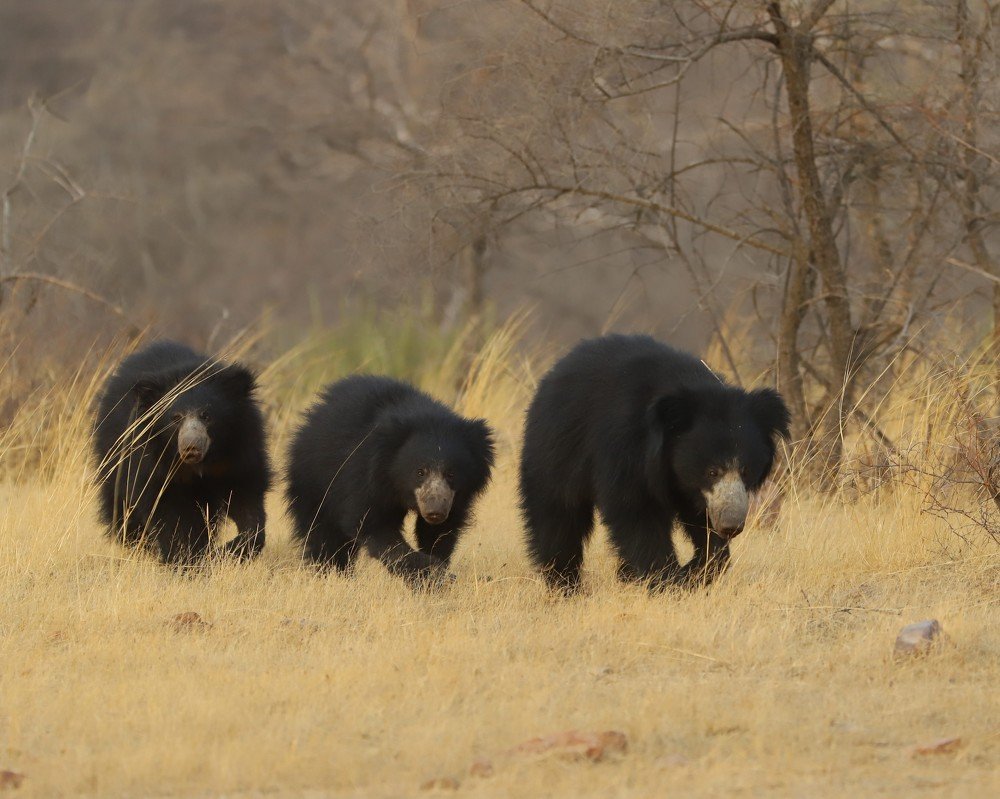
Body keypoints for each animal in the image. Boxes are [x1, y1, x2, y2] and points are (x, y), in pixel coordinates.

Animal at [93, 341, 271, 565]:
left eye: (206, 415)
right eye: (175, 418)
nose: (191, 447)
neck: (201, 464)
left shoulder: (240, 453)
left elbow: (247, 498)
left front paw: (226, 551)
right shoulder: (152, 464)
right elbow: (171, 514)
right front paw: (186, 559)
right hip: (113, 458)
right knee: (123, 510)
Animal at [285, 375, 495, 584]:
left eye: (451, 473)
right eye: (420, 472)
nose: (435, 511)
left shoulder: (456, 497)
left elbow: (440, 532)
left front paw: (437, 569)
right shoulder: (364, 476)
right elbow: (372, 525)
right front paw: (430, 573)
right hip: (314, 484)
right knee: (323, 535)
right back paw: (332, 573)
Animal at [519, 334, 790, 592]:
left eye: (745, 471)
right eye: (712, 471)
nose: (731, 525)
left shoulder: (695, 493)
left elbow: (706, 532)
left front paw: (696, 569)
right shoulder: (626, 449)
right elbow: (637, 515)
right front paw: (669, 579)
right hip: (557, 451)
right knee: (557, 516)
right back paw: (564, 583)